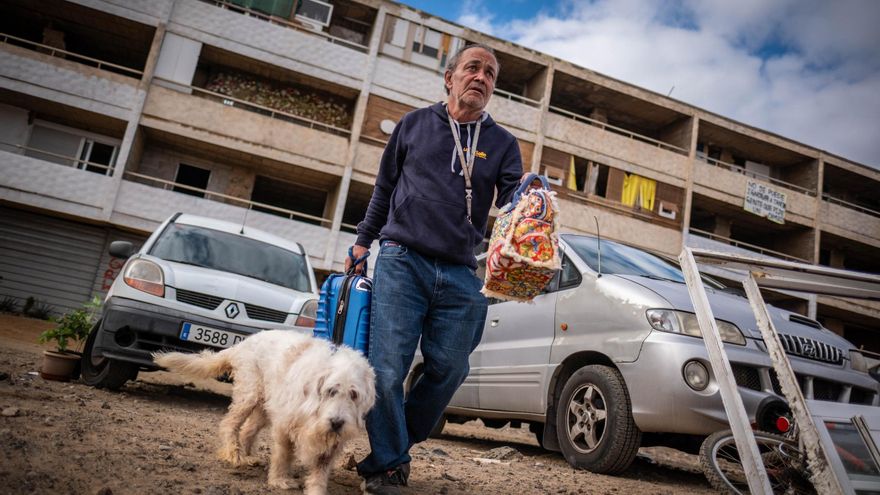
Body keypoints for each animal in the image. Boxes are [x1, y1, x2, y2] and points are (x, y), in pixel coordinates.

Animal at [155, 332, 374, 494]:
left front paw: (315, 491)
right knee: (229, 424)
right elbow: (283, 455)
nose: (336, 422)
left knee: (247, 430)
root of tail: (244, 343)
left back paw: (246, 456)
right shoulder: (284, 426)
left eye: (354, 394)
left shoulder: (332, 443)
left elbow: (320, 472)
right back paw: (234, 455)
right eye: (331, 391)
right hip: (249, 395)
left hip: (264, 407)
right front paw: (279, 480)